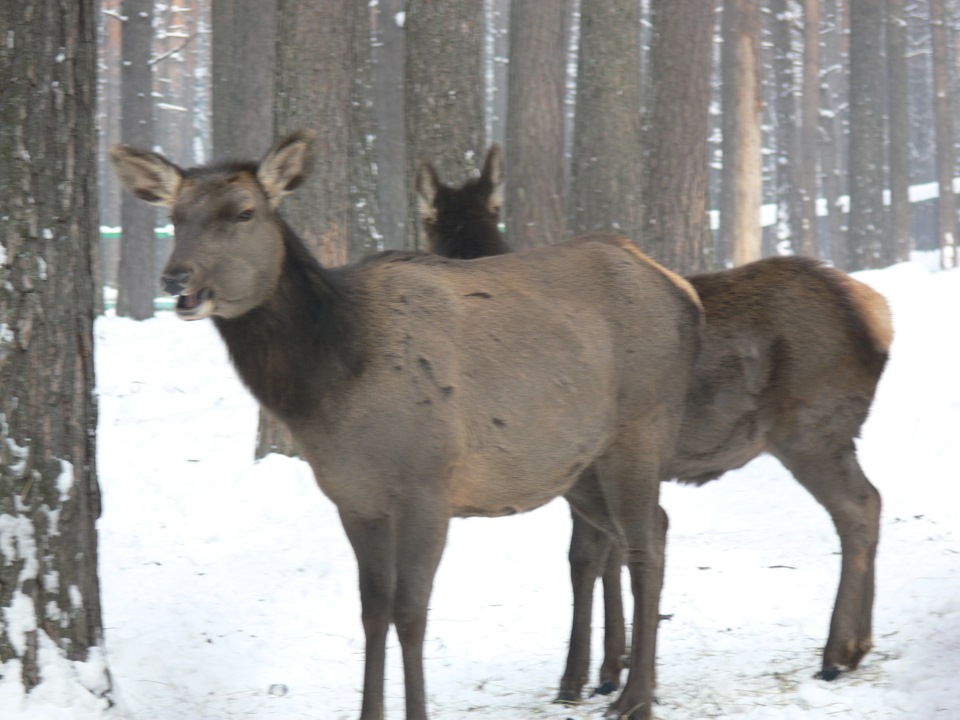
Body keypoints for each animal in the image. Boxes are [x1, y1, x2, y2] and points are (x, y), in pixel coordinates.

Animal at [110, 131, 704, 720]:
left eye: (243, 212)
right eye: (175, 215)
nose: (176, 278)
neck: (333, 386)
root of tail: (682, 292)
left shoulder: (427, 486)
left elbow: (411, 611)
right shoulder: (355, 499)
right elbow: (373, 610)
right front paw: (369, 712)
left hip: (641, 429)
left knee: (644, 544)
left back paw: (633, 698)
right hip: (580, 466)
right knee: (651, 527)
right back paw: (627, 684)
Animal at [416, 148, 896, 704]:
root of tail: (878, 317)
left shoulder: (586, 472)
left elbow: (586, 560)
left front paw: (582, 677)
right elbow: (606, 558)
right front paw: (611, 666)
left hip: (812, 432)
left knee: (857, 507)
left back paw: (836, 653)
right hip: (831, 435)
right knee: (870, 502)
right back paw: (858, 646)